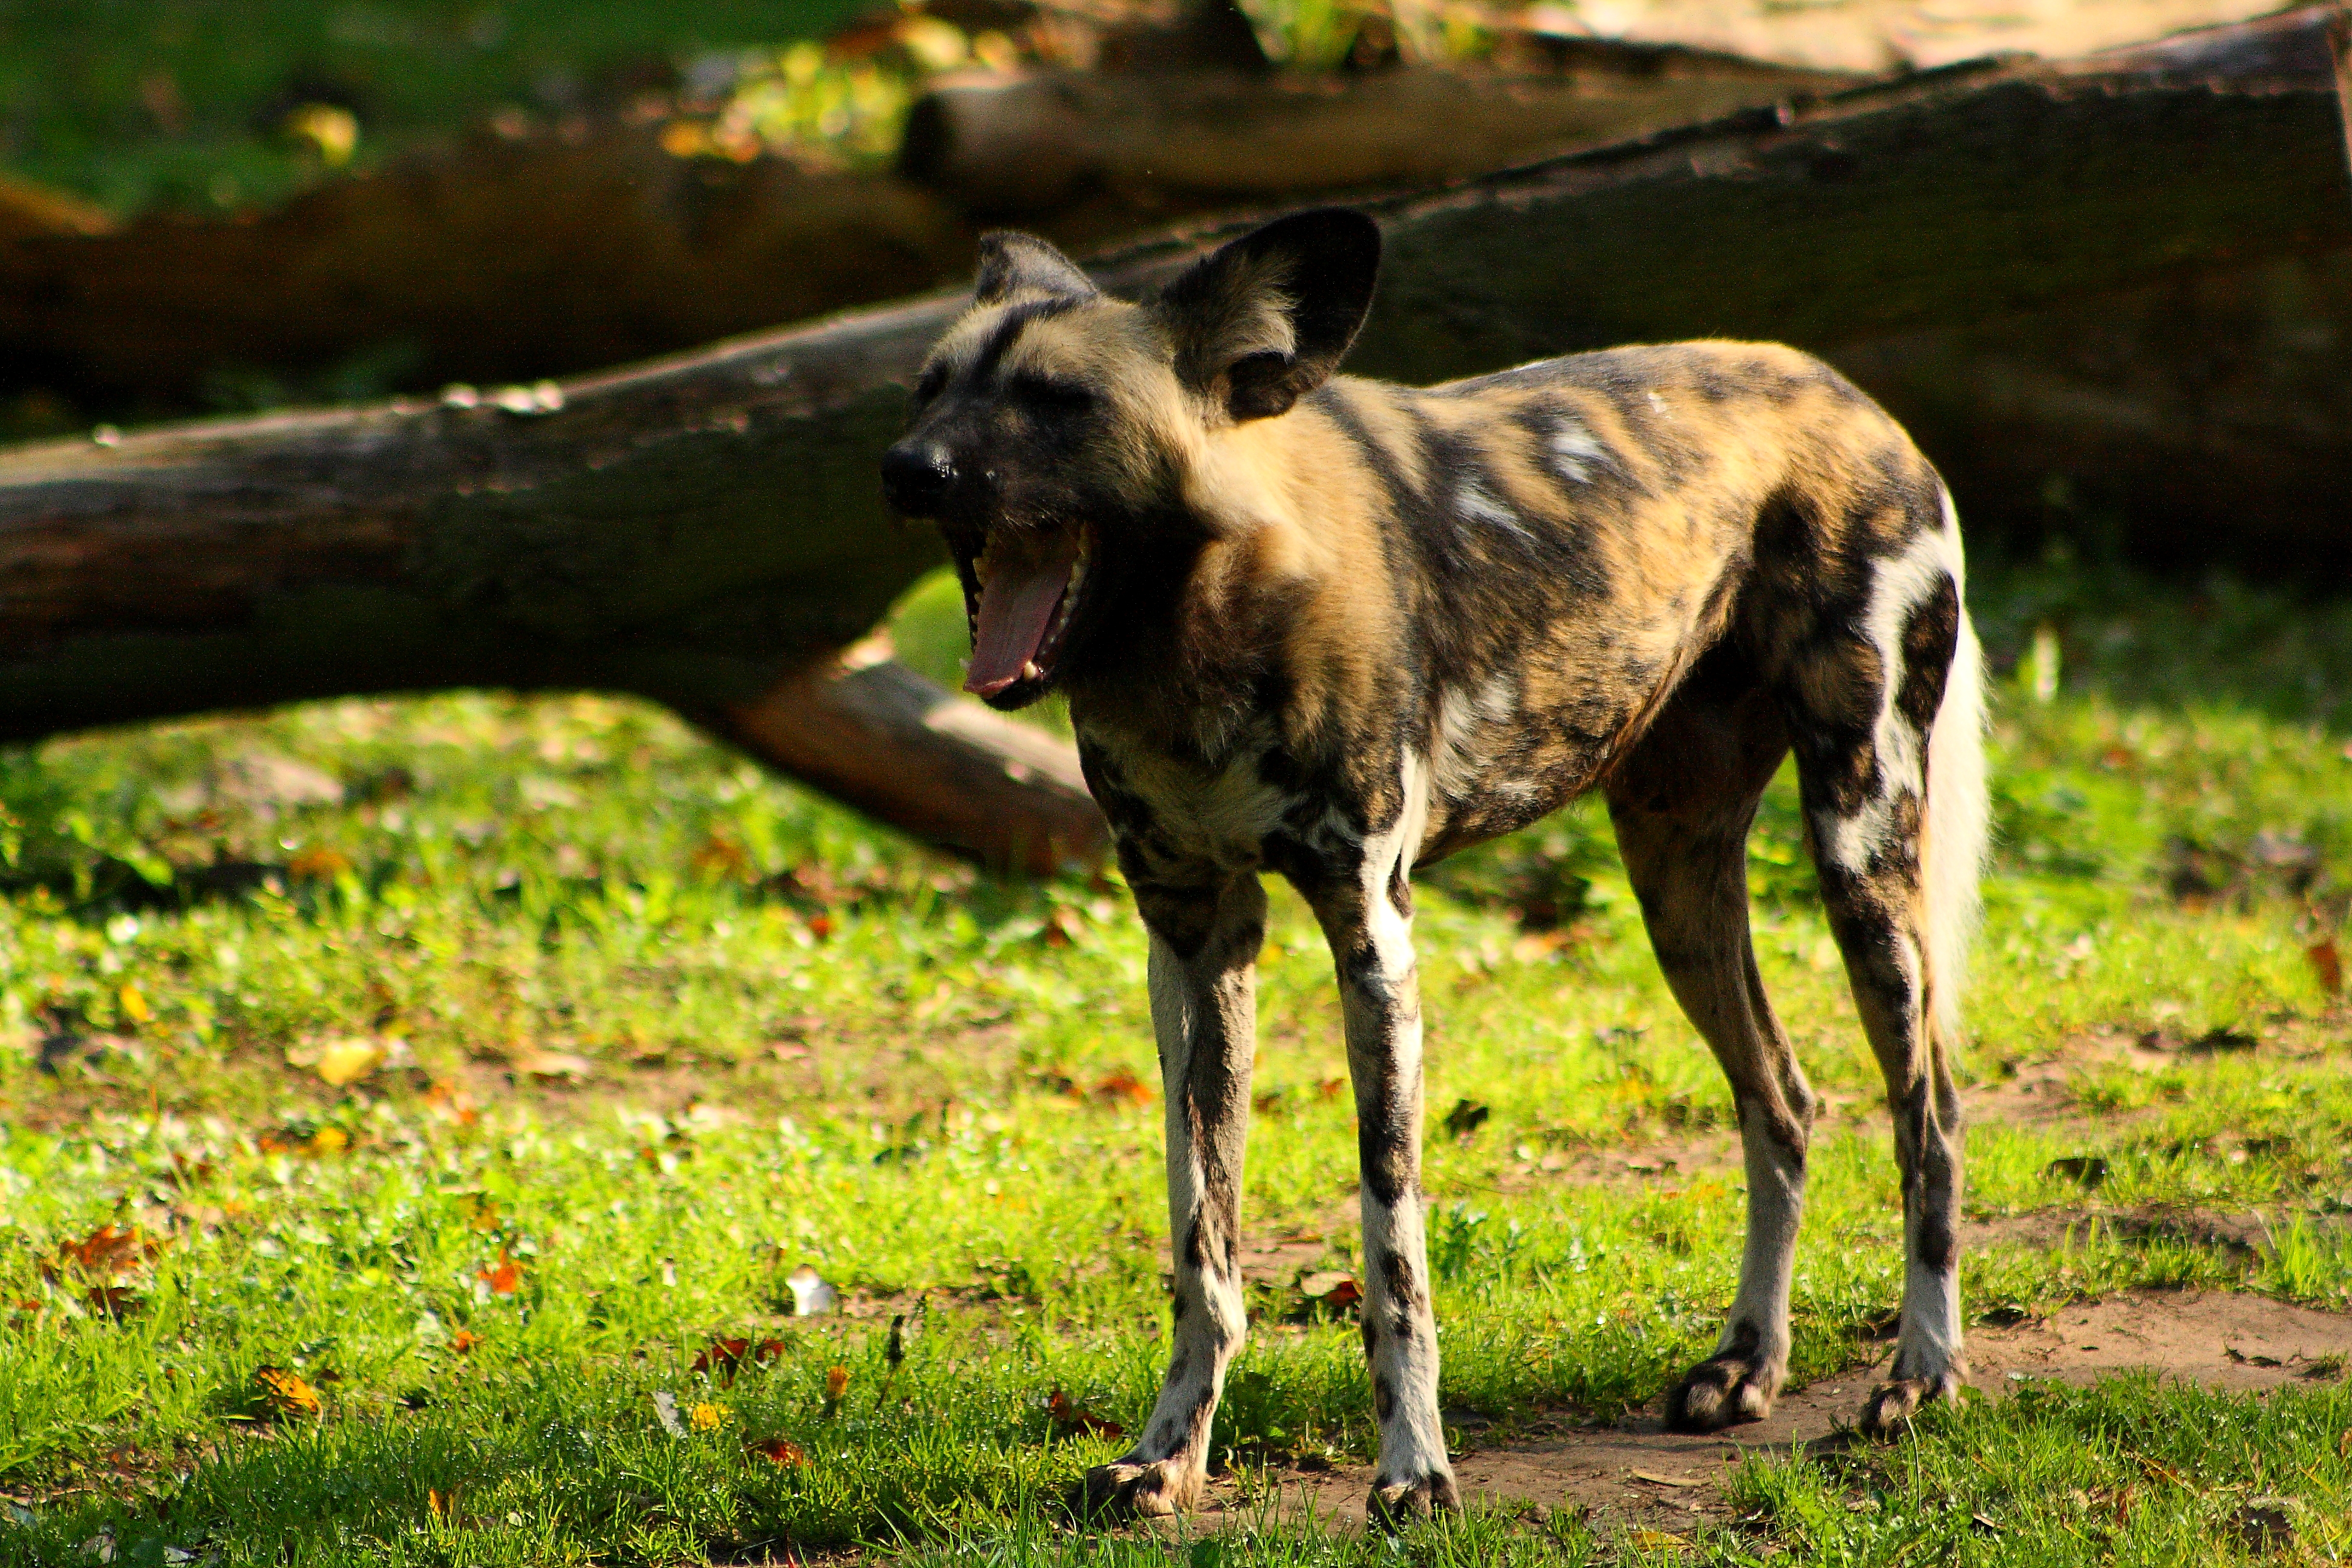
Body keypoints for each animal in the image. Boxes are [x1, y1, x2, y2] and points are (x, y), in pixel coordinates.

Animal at [884, 207, 1985, 1523]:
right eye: (930, 388)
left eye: (1059, 401)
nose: (906, 469)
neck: (1195, 644)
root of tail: (1852, 395)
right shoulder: (1194, 938)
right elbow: (1202, 1245)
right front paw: (1168, 1455)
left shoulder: (1372, 936)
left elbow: (1390, 1253)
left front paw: (1412, 1471)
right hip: (1675, 880)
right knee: (1783, 1097)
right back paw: (1745, 1364)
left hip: (1861, 851)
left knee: (1929, 1114)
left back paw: (1922, 1375)